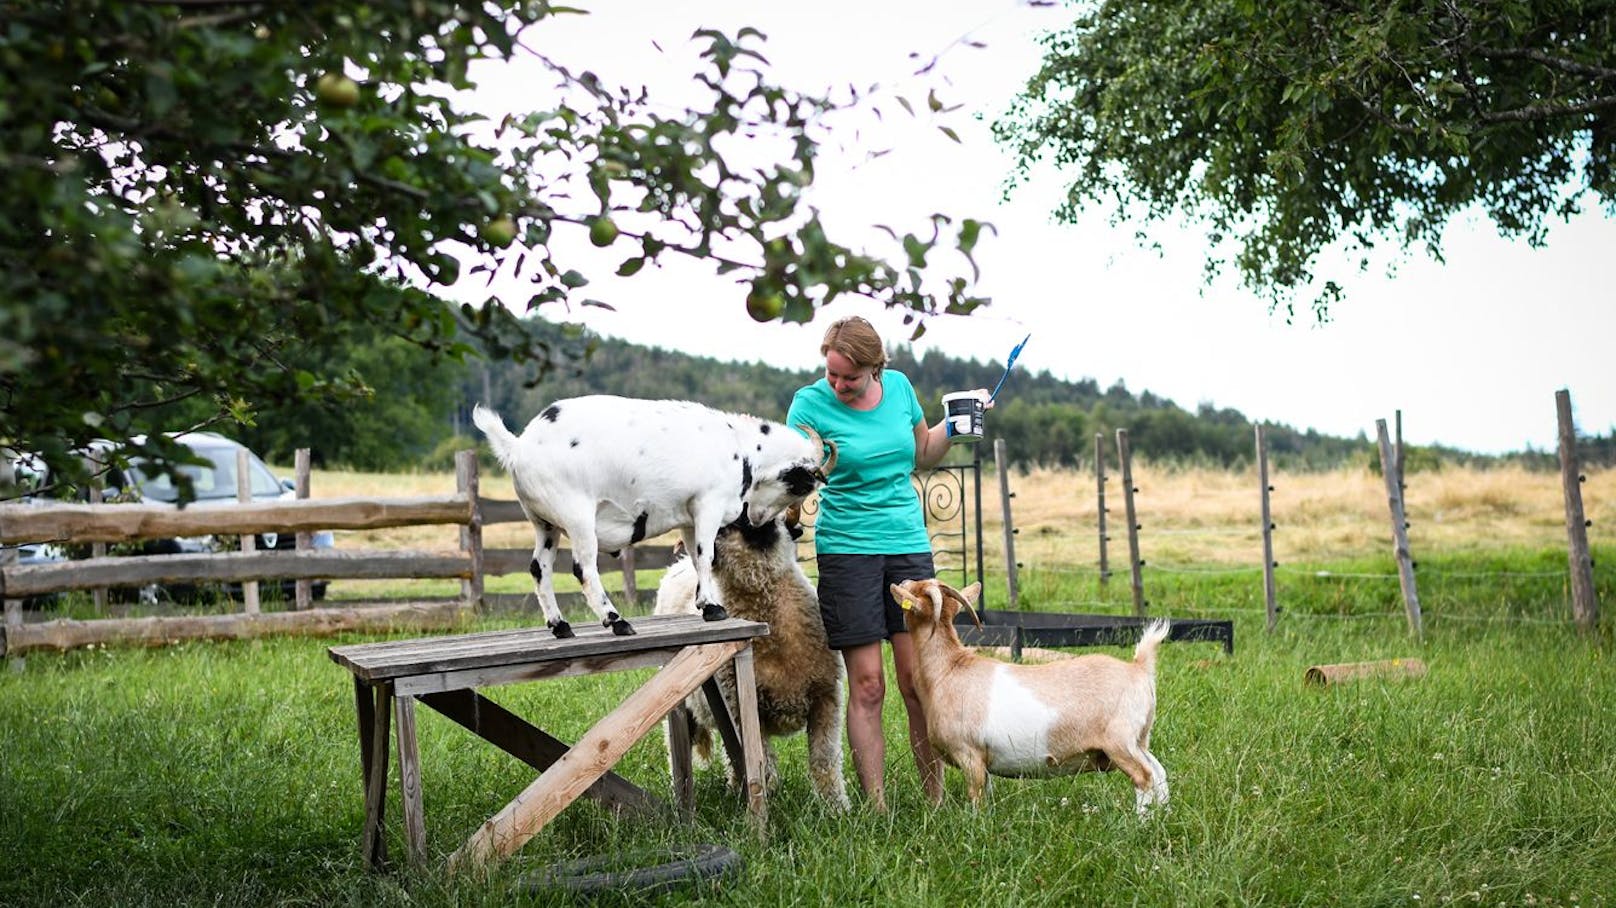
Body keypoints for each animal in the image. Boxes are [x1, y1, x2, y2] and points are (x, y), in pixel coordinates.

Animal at [471, 395, 840, 636]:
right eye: (800, 487)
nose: (761, 521)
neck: (741, 445)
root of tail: (518, 446)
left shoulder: (690, 516)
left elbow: (696, 558)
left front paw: (704, 604)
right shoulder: (708, 505)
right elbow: (707, 556)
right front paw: (713, 607)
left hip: (543, 523)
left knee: (538, 568)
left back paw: (560, 626)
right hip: (577, 517)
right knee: (583, 569)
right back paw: (616, 621)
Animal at [892, 575, 1169, 807]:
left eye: (916, 590)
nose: (903, 581)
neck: (949, 669)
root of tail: (1139, 668)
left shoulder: (969, 755)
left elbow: (976, 798)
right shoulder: (983, 761)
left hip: (1119, 741)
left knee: (1144, 777)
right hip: (1139, 740)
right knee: (1159, 775)